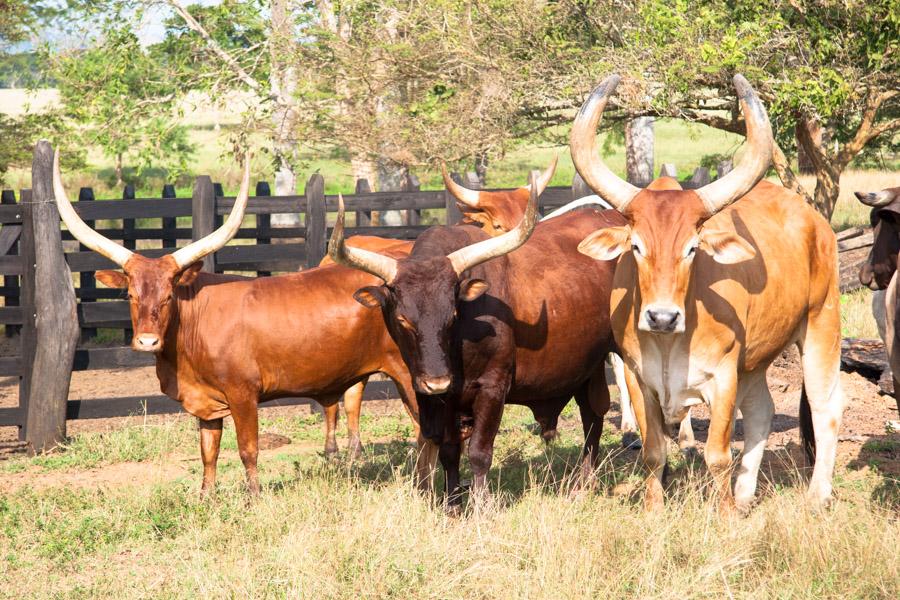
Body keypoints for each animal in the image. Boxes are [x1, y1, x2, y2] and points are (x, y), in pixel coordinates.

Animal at [54, 152, 438, 494]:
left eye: (169, 295)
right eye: (131, 295)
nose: (147, 341)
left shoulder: (243, 394)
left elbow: (247, 450)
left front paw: (253, 498)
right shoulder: (207, 404)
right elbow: (209, 452)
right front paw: (206, 498)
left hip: (414, 378)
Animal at [326, 176, 624, 504]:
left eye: (453, 315)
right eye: (403, 320)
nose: (437, 381)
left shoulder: (493, 387)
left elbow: (480, 452)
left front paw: (481, 505)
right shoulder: (431, 395)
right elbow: (447, 451)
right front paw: (452, 504)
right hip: (589, 366)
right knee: (592, 414)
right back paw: (584, 484)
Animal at [568, 72, 844, 508]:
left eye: (692, 248)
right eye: (636, 247)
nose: (662, 317)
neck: (669, 344)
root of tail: (815, 221)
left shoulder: (724, 376)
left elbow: (717, 455)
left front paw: (725, 513)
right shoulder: (636, 377)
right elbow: (653, 452)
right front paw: (655, 509)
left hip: (822, 324)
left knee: (825, 408)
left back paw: (816, 496)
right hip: (756, 357)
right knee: (763, 410)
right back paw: (746, 494)